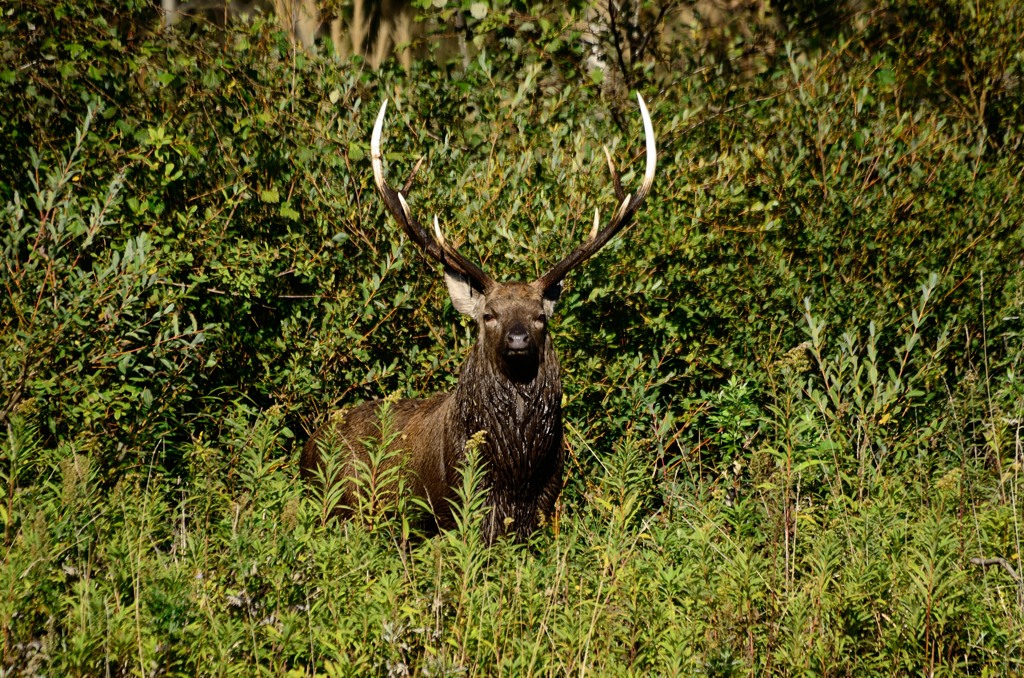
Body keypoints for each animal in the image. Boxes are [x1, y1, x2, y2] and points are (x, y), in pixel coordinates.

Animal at [301, 93, 655, 544]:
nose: (518, 340)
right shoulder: (461, 500)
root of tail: (307, 446)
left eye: (540, 316)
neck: (517, 470)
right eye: (489, 314)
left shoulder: (548, 498)